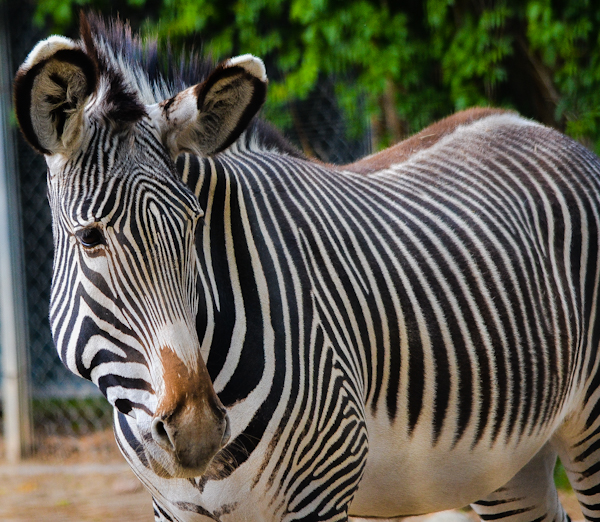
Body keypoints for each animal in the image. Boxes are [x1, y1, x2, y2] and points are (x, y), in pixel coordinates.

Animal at [12, 11, 600, 520]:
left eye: (193, 226)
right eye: (91, 238)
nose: (198, 433)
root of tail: (547, 133)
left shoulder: (321, 488)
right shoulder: (174, 508)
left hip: (588, 423)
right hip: (509, 461)